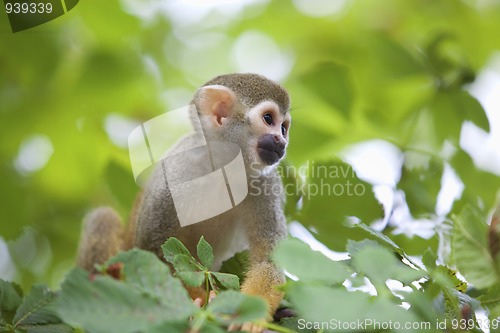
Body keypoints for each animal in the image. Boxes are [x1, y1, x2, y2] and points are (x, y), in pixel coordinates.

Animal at [76, 72, 292, 324]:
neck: (221, 168)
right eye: (268, 119)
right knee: (103, 218)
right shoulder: (175, 173)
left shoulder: (266, 185)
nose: (281, 142)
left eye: (284, 128)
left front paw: (250, 317)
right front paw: (203, 302)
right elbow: (153, 253)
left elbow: (268, 262)